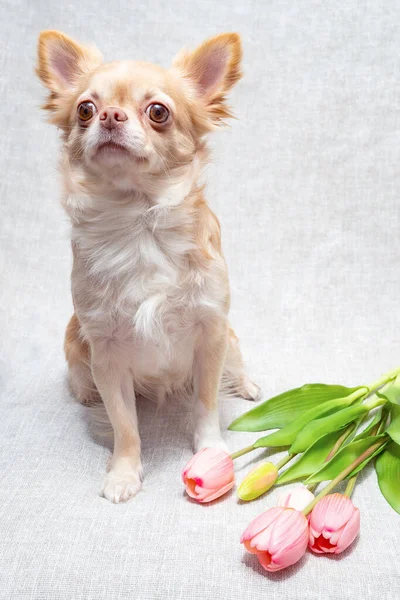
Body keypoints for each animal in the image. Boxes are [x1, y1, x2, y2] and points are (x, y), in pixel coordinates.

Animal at [36, 31, 260, 502]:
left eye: (158, 112)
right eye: (85, 109)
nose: (109, 115)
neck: (138, 221)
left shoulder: (210, 331)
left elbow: (205, 403)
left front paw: (211, 452)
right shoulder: (106, 353)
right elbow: (125, 424)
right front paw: (124, 473)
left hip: (228, 335)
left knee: (235, 361)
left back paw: (247, 384)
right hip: (75, 341)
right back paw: (84, 394)